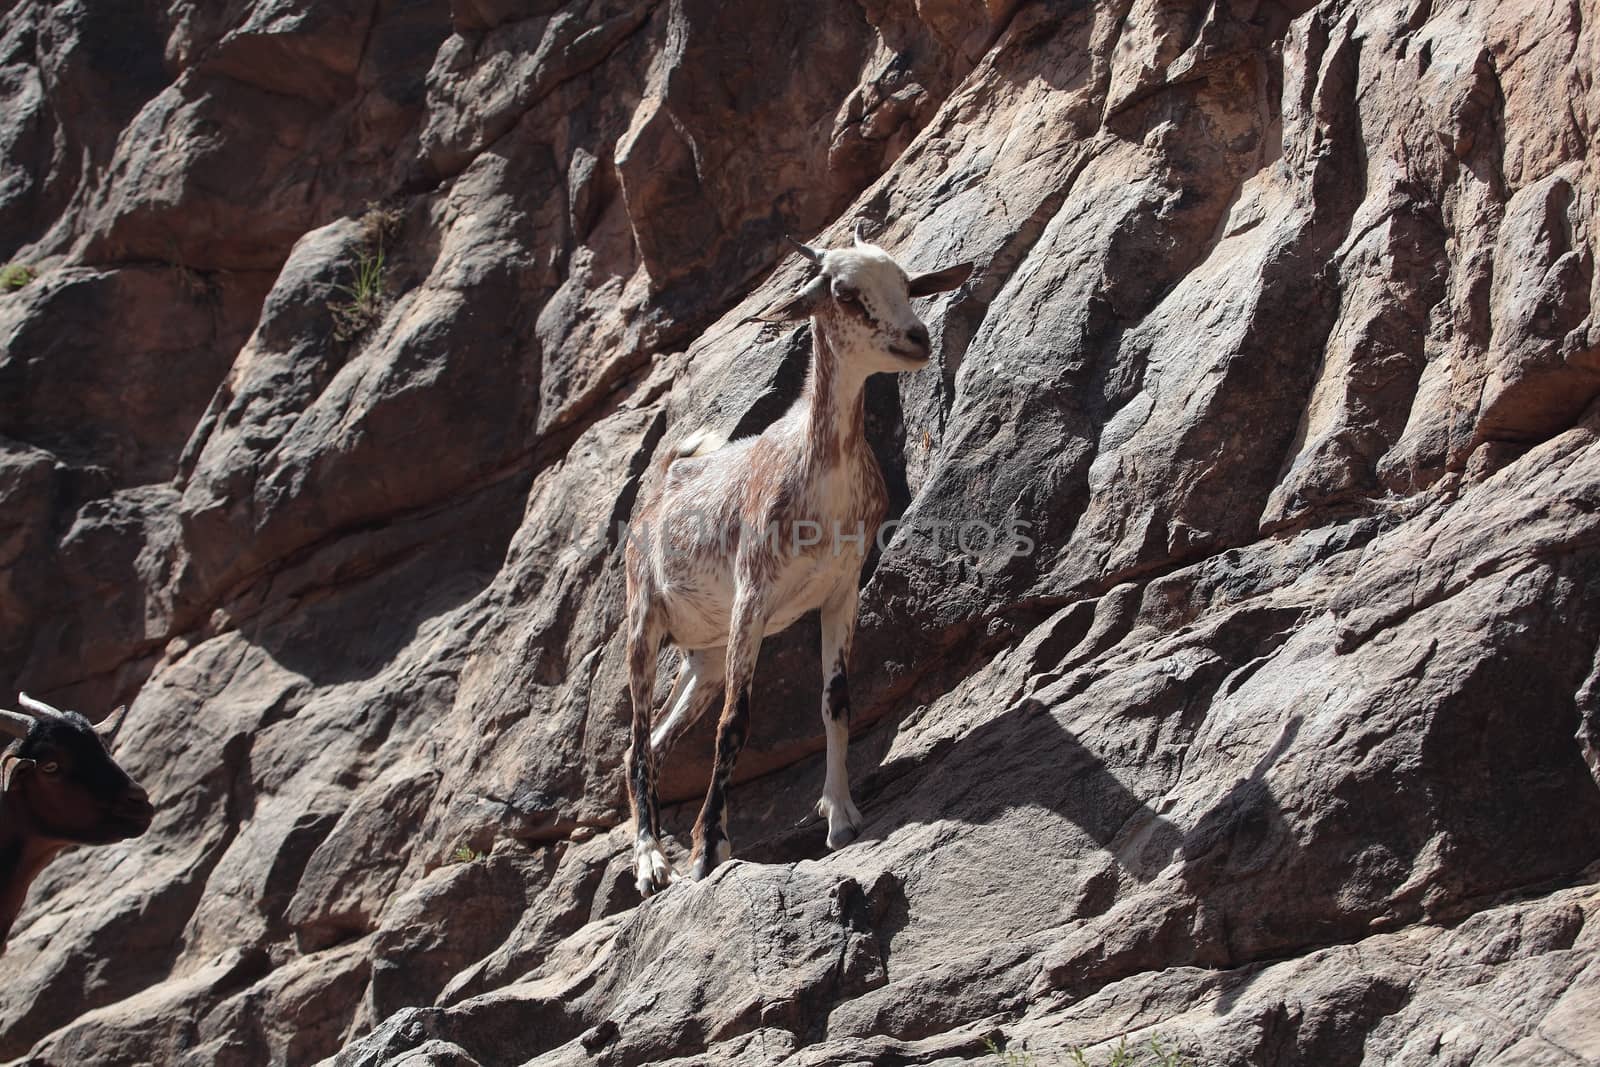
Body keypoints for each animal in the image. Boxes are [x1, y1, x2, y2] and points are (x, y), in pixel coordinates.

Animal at [620, 225, 972, 895]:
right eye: (844, 291)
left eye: (905, 282)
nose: (917, 338)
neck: (821, 473)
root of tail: (661, 489)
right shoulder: (753, 598)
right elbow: (735, 722)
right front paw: (708, 848)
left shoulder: (839, 592)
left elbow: (836, 702)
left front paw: (841, 815)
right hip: (645, 625)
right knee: (635, 739)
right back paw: (651, 863)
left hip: (704, 659)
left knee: (650, 741)